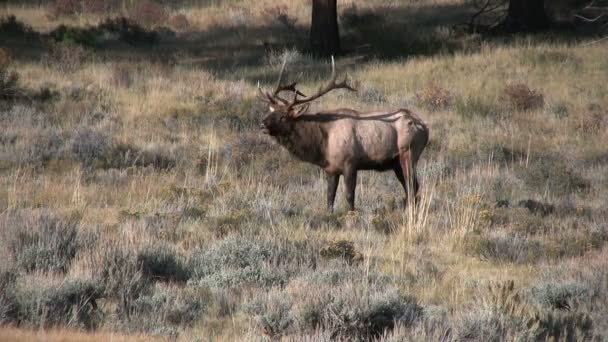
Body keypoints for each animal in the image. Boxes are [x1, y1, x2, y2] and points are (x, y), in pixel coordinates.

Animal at [258, 58, 430, 211]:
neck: (323, 145)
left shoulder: (350, 163)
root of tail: (425, 127)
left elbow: (349, 196)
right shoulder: (330, 169)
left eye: (283, 116)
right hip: (396, 162)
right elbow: (329, 198)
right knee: (412, 187)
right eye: (270, 112)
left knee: (412, 186)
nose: (262, 124)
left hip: (408, 153)